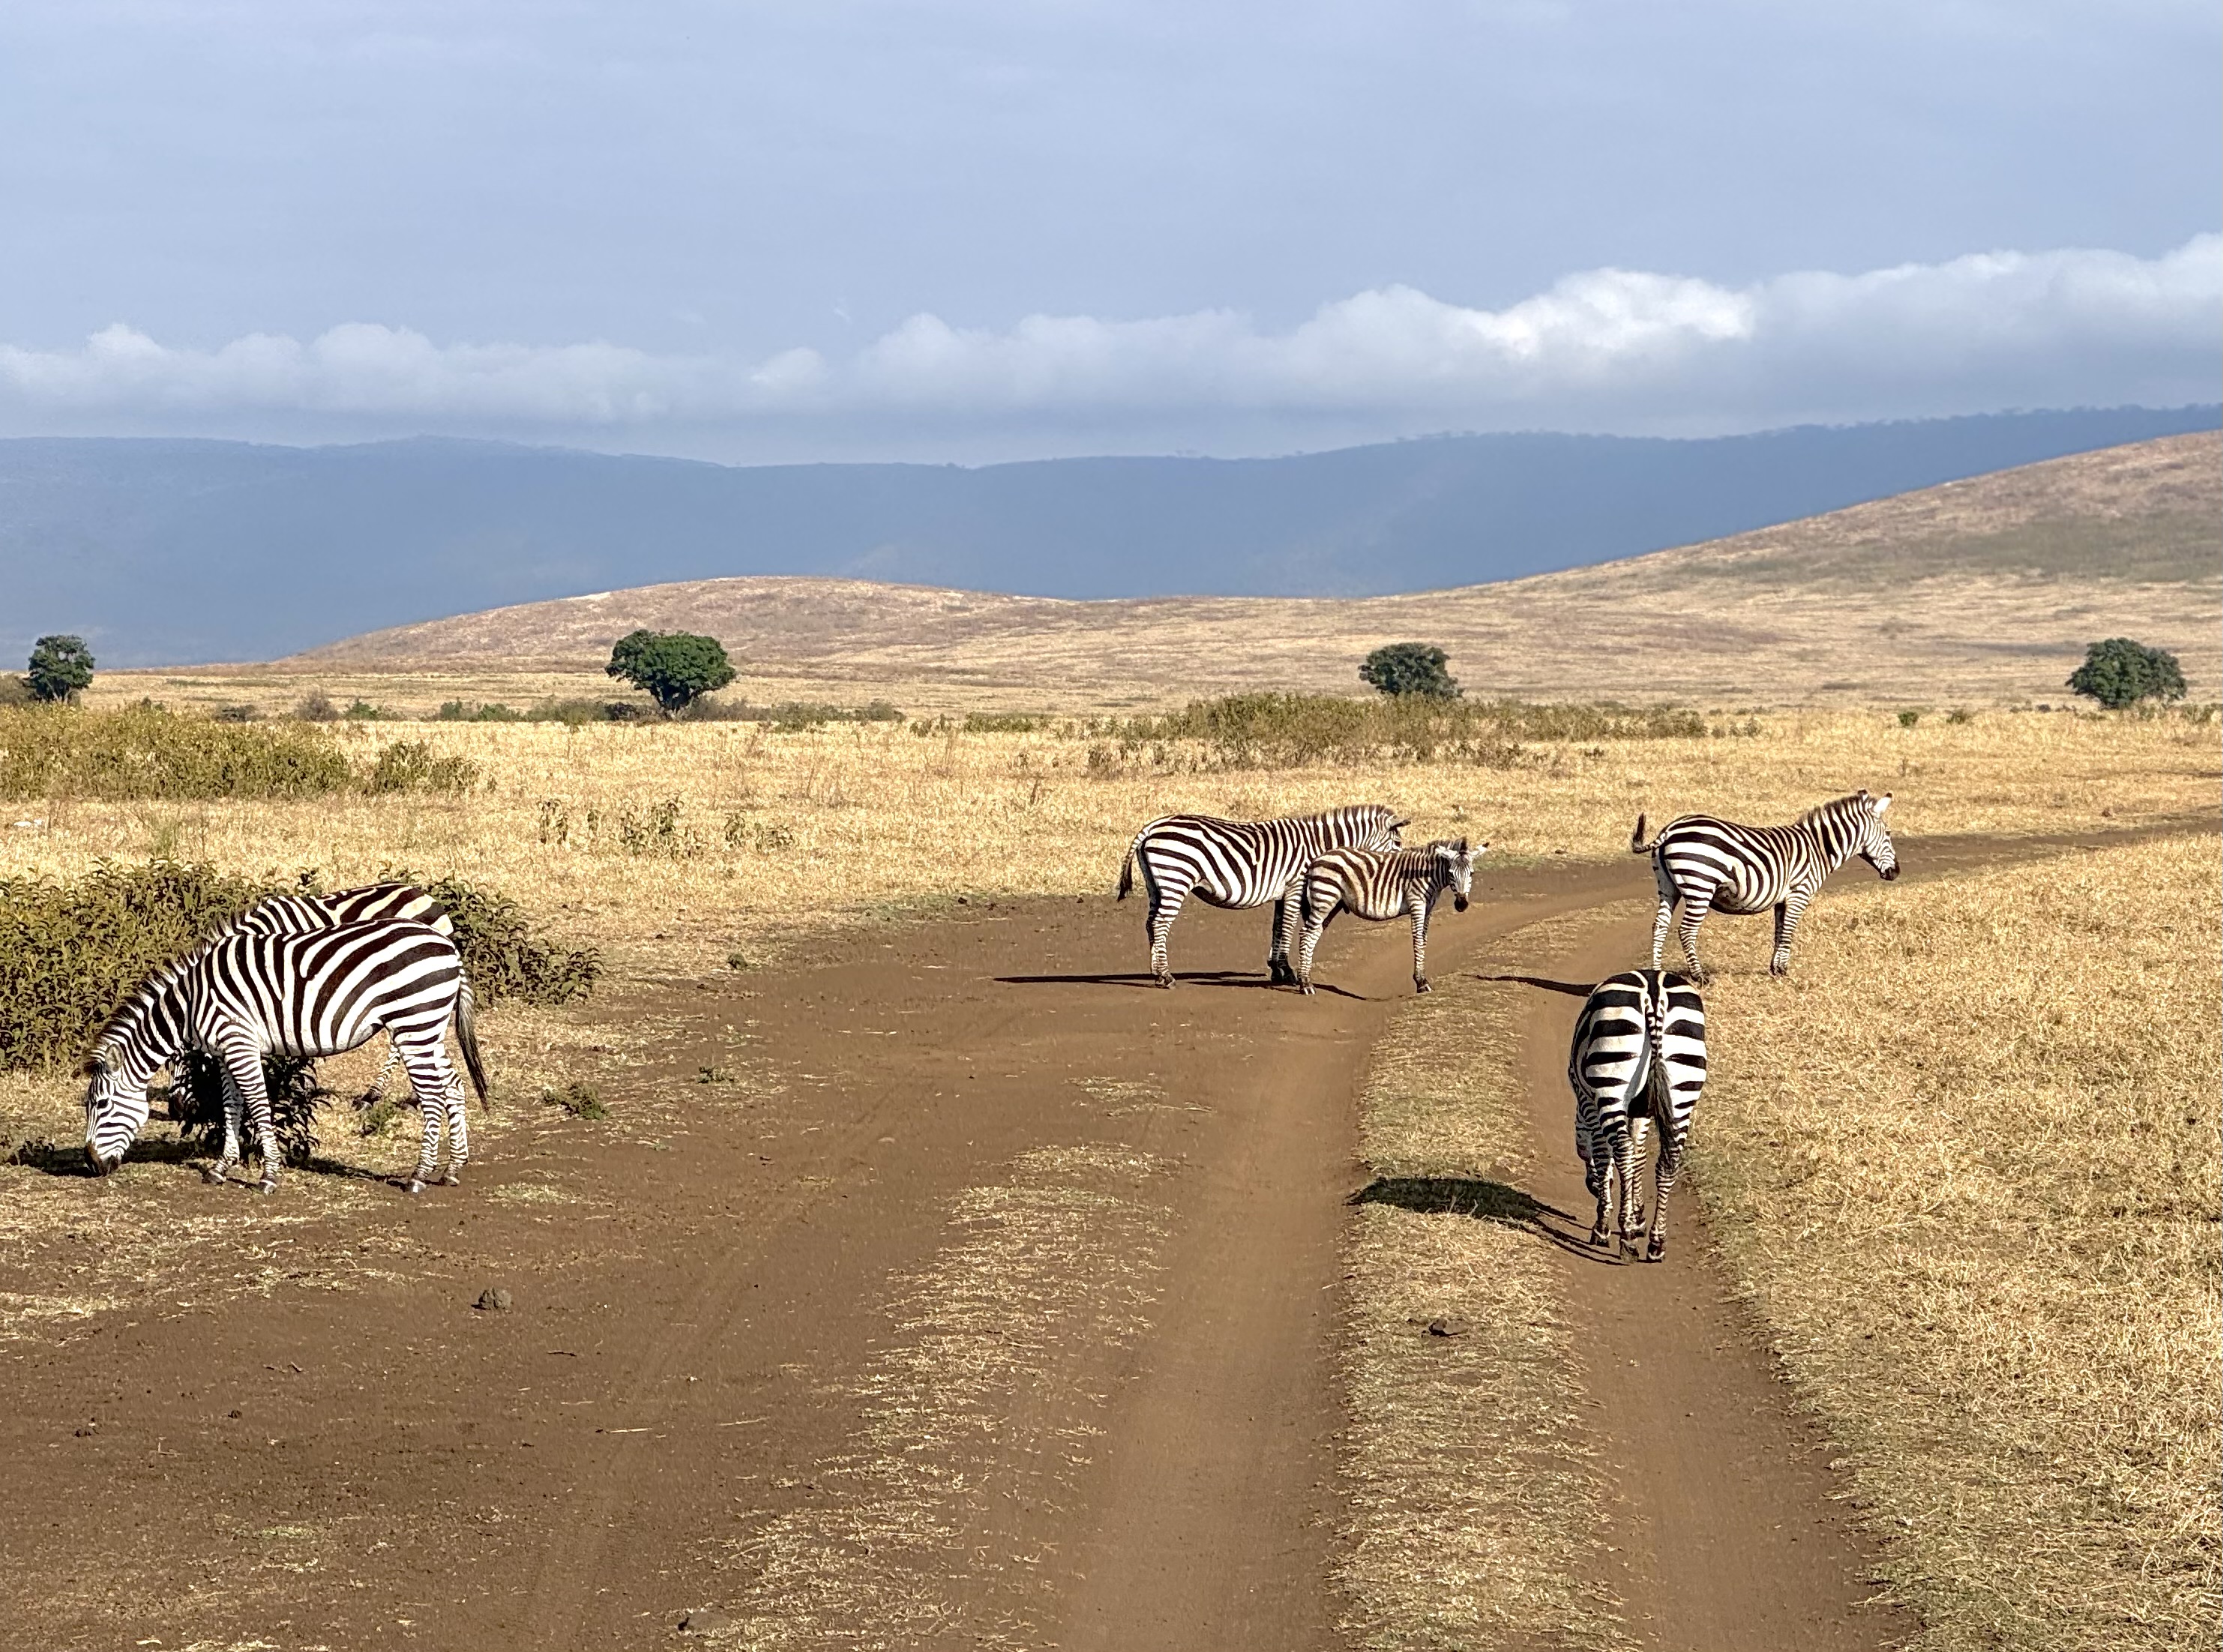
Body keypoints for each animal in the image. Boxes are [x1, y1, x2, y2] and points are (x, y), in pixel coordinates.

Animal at [83, 920, 488, 1194]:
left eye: (101, 1105)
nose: (90, 1164)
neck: (191, 1003)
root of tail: (449, 947)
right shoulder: (225, 1052)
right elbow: (231, 1107)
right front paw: (221, 1168)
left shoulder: (240, 1044)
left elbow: (259, 1107)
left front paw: (269, 1177)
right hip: (429, 1027)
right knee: (453, 1086)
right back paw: (452, 1169)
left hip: (413, 1023)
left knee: (433, 1096)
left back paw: (418, 1177)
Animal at [1116, 804, 1405, 987]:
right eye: (1398, 844)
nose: (1401, 868)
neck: (1320, 845)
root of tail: (1152, 827)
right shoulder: (1296, 885)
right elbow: (1288, 926)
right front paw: (1287, 972)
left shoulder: (1282, 892)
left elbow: (1278, 926)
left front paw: (1277, 968)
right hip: (1176, 879)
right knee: (1160, 924)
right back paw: (1165, 976)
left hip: (1157, 884)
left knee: (1150, 923)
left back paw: (1155, 972)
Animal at [1293, 837, 1482, 997]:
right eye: (1451, 873)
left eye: (1471, 874)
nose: (1461, 905)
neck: (1428, 875)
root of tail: (1315, 860)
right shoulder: (1417, 904)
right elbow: (1417, 940)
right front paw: (1421, 982)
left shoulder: (1428, 908)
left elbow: (1424, 940)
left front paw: (1422, 979)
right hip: (1325, 898)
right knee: (1306, 934)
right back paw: (1305, 985)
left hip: (1331, 903)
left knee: (1313, 935)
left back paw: (1307, 980)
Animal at [1568, 968, 1708, 1261]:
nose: (1590, 1186)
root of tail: (1654, 995)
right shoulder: (1641, 1110)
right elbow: (1639, 1155)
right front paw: (1638, 1215)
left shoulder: (1589, 1100)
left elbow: (1605, 1155)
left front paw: (1606, 1224)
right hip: (1683, 1089)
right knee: (1668, 1161)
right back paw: (1657, 1242)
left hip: (1610, 1083)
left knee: (1621, 1150)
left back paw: (1625, 1239)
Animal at [1632, 790, 1899, 982]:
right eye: (1887, 834)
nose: (1896, 872)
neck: (1818, 848)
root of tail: (1671, 828)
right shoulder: (1799, 893)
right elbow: (1789, 931)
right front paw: (1782, 971)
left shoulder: (1783, 899)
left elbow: (1779, 931)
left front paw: (1776, 968)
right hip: (1700, 885)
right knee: (1686, 930)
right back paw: (1700, 977)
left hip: (1668, 887)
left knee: (1659, 926)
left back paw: (1656, 974)